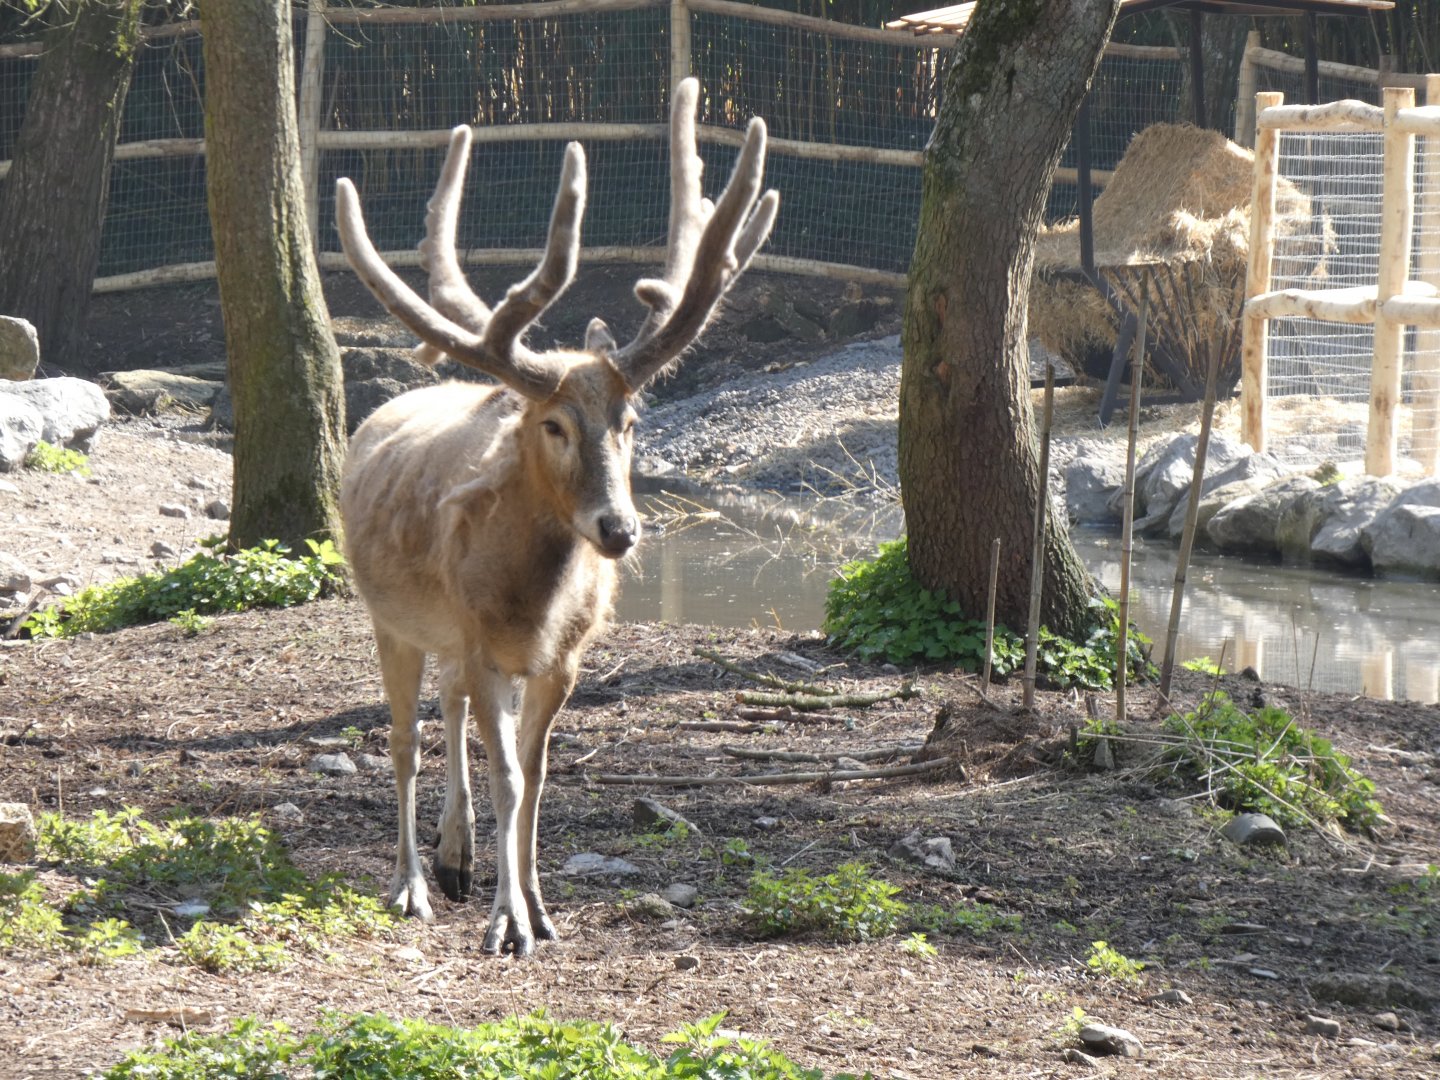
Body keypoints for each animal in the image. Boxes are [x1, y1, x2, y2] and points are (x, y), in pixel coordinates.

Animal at [333, 78, 778, 957]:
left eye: (631, 418)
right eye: (553, 425)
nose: (620, 530)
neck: (531, 601)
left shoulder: (560, 657)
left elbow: (534, 777)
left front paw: (537, 907)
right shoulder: (480, 641)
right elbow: (505, 773)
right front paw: (508, 924)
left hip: (450, 639)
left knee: (447, 707)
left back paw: (456, 857)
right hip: (390, 617)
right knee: (402, 739)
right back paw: (412, 884)